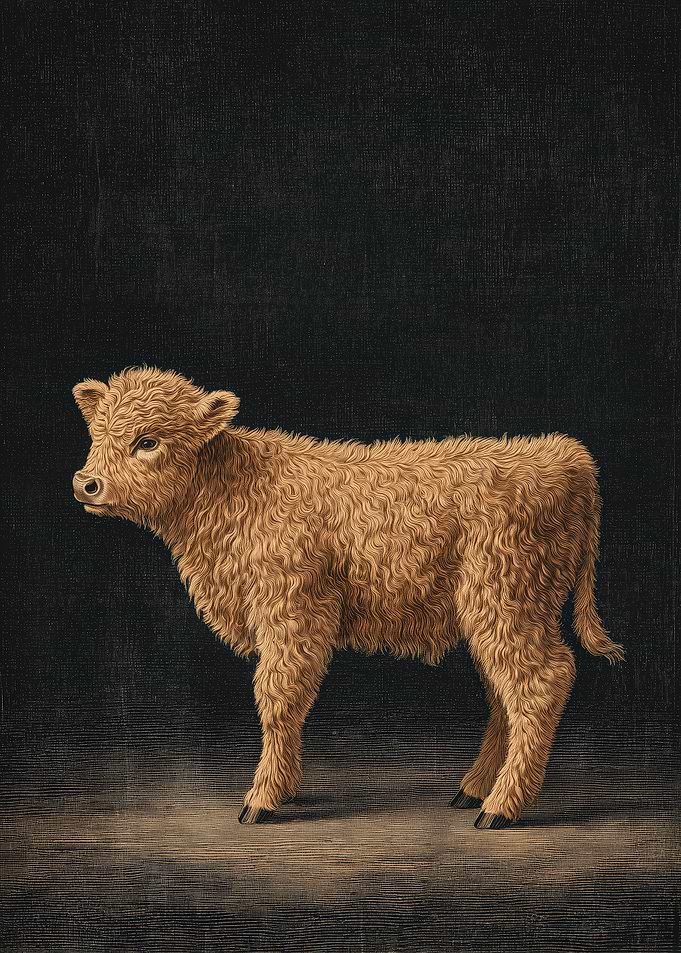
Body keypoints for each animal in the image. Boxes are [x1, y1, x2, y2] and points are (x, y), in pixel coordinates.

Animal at [72, 367, 624, 829]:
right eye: (97, 435)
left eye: (148, 441)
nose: (86, 484)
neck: (233, 488)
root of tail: (564, 455)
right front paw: (284, 788)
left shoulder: (291, 612)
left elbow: (277, 698)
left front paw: (263, 799)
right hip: (488, 615)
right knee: (503, 695)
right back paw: (473, 790)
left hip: (508, 601)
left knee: (540, 684)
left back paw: (501, 807)